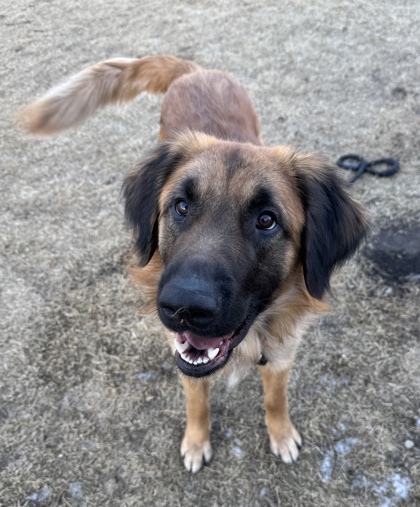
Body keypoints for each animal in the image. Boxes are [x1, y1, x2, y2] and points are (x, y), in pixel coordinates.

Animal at [20, 57, 368, 474]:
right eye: (181, 206)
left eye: (267, 220)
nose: (184, 307)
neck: (250, 340)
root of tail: (195, 70)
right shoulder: (184, 357)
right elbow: (197, 402)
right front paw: (196, 442)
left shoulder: (281, 356)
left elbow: (275, 399)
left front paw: (281, 434)